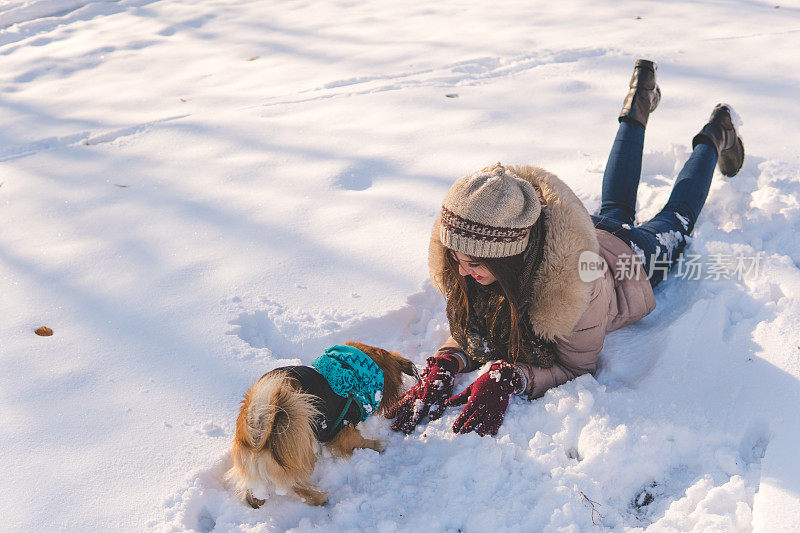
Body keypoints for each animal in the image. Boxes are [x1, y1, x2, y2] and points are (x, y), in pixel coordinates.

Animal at [223, 340, 416, 508]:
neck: (351, 370)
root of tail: (257, 426)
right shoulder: (343, 428)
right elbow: (357, 440)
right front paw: (377, 444)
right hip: (300, 449)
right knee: (294, 484)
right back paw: (319, 498)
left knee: (256, 492)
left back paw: (256, 501)